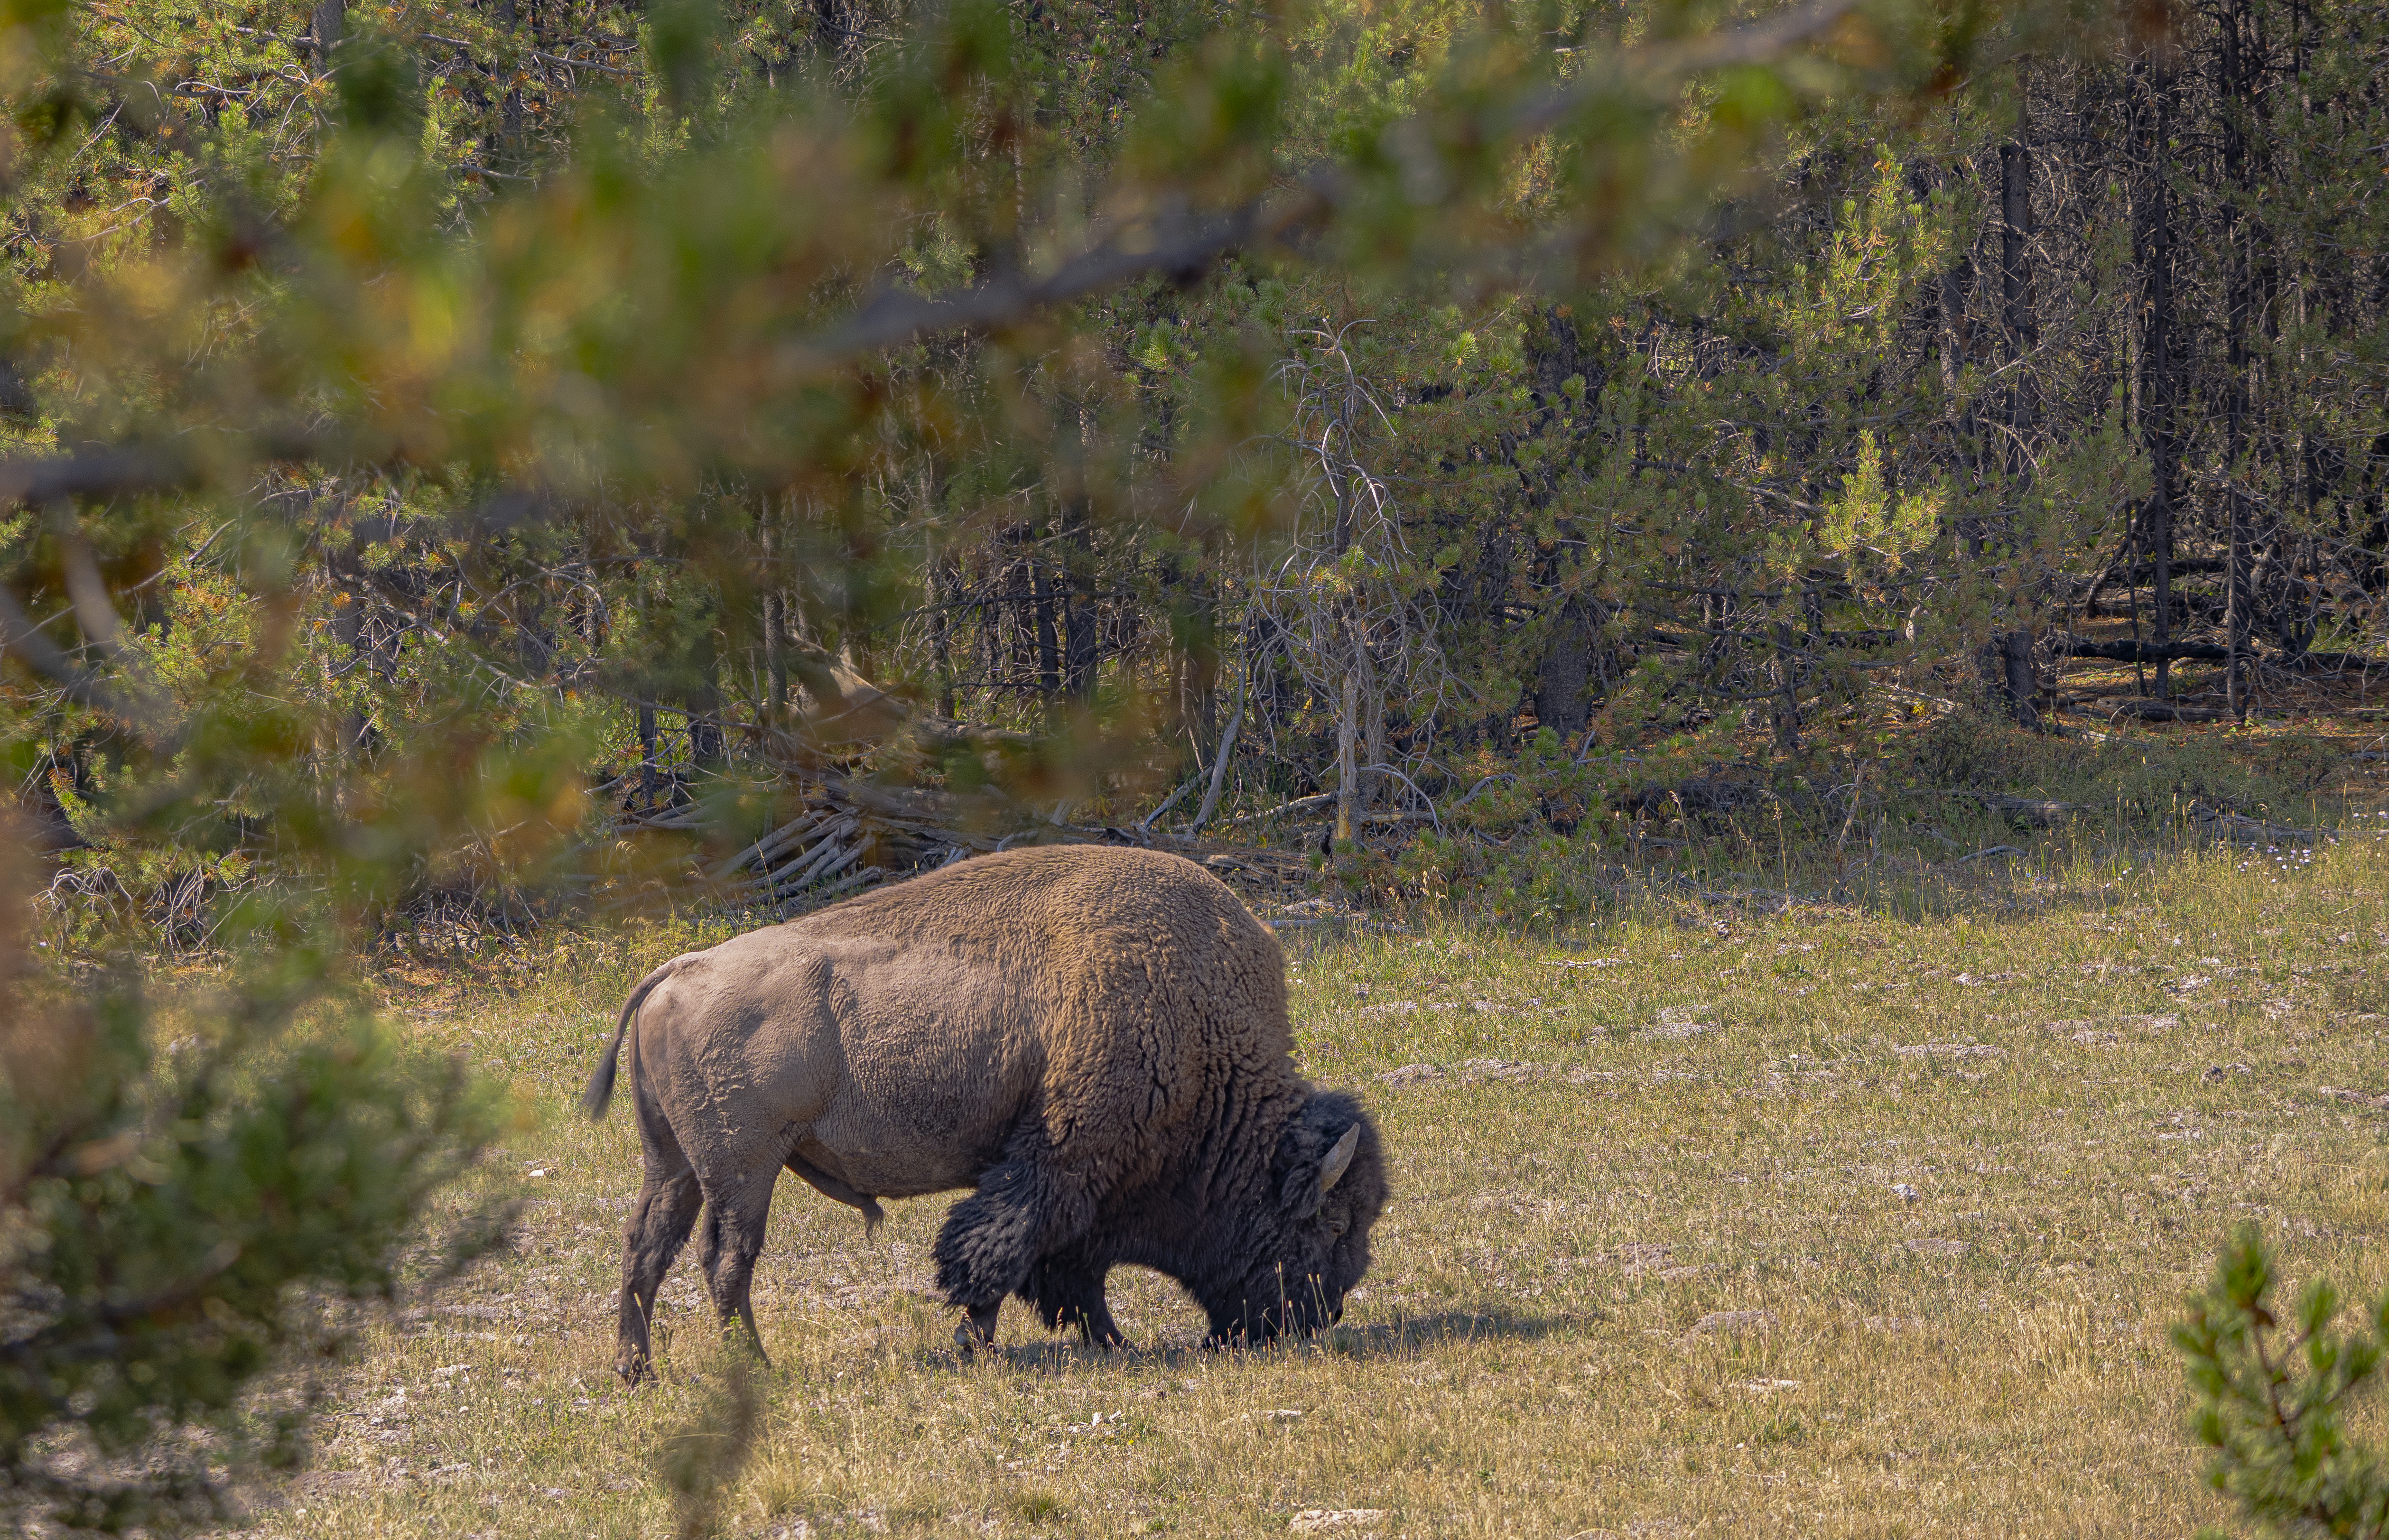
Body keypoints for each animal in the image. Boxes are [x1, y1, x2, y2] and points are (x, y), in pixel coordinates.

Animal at [580, 840, 1395, 1384]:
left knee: (645, 1248)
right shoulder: (1061, 1163)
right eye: (1331, 1223)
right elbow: (1003, 1256)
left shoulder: (1061, 1178)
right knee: (726, 1259)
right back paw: (755, 1366)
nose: (1323, 1313)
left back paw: (637, 1370)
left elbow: (1050, 1268)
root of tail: (674, 972)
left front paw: (1096, 1342)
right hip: (744, 1167)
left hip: (676, 1163)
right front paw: (990, 1347)